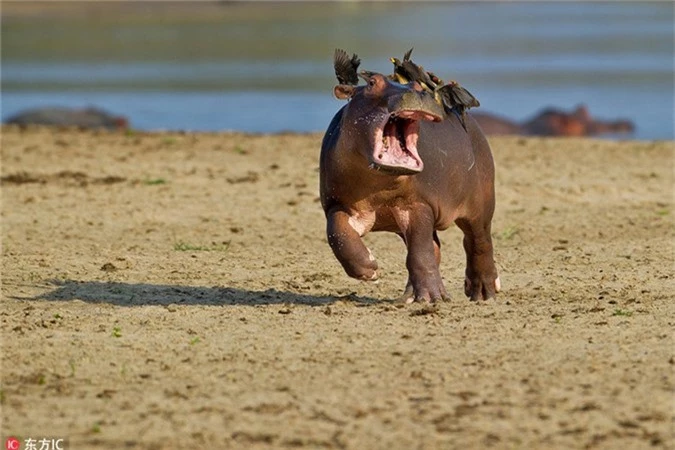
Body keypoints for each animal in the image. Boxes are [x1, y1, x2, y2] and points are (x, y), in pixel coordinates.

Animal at [320, 57, 500, 302]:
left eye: (417, 85)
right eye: (372, 83)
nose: (417, 93)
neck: (379, 186)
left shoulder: (418, 204)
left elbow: (420, 252)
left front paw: (434, 298)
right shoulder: (337, 204)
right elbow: (337, 233)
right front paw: (369, 269)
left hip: (481, 204)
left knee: (478, 242)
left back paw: (483, 293)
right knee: (436, 247)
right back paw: (409, 296)